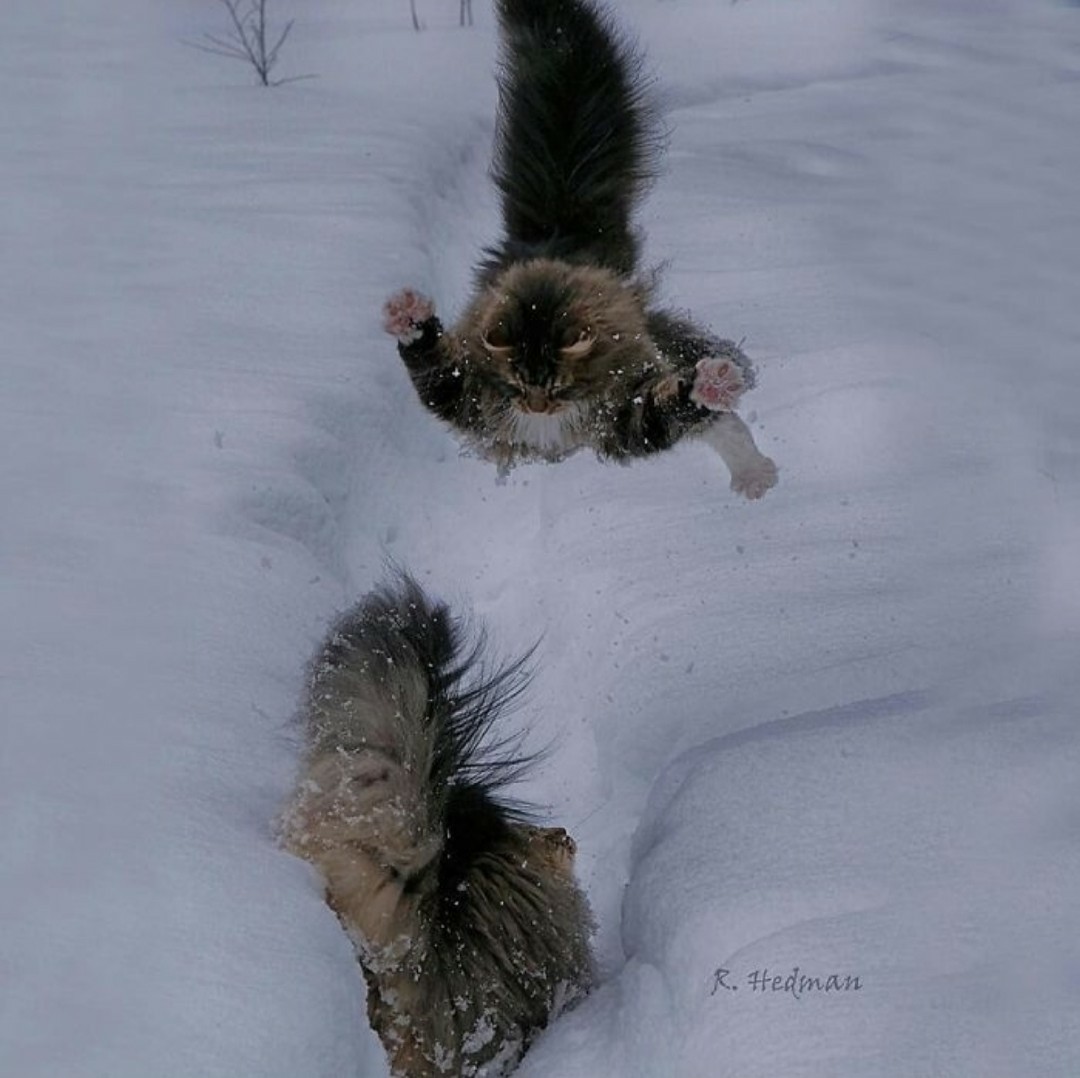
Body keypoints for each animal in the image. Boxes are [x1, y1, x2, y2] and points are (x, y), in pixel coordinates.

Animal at [384, 0, 781, 501]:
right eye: (516, 384)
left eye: (558, 386)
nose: (536, 409)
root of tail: (560, 231)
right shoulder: (468, 390)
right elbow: (433, 366)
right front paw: (408, 317)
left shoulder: (626, 411)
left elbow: (671, 405)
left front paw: (706, 386)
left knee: (722, 424)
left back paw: (753, 471)